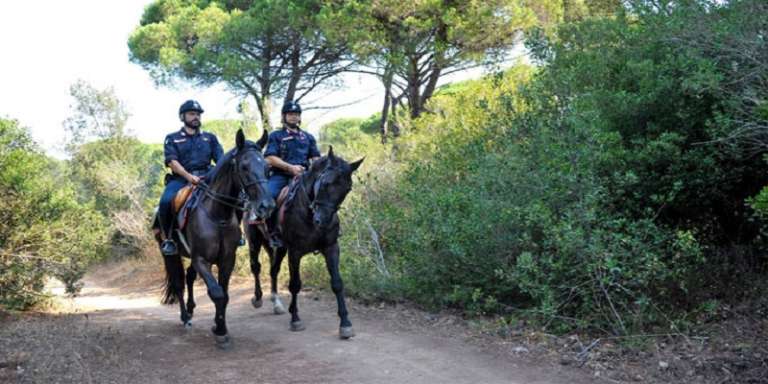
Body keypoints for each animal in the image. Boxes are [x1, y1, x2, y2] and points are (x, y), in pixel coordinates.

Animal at [157, 129, 276, 348]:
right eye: (244, 167)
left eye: (267, 168)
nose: (267, 206)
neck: (216, 214)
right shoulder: (201, 259)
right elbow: (217, 293)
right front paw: (220, 331)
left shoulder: (226, 259)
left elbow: (225, 294)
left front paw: (218, 325)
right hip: (169, 253)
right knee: (178, 282)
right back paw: (185, 317)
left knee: (189, 276)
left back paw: (191, 309)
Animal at [248, 147, 364, 340]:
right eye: (325, 183)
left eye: (347, 189)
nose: (323, 221)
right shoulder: (295, 251)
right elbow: (295, 284)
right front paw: (295, 320)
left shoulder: (331, 248)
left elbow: (337, 283)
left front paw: (345, 323)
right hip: (254, 241)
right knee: (256, 267)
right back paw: (258, 298)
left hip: (280, 248)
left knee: (273, 270)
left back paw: (277, 304)